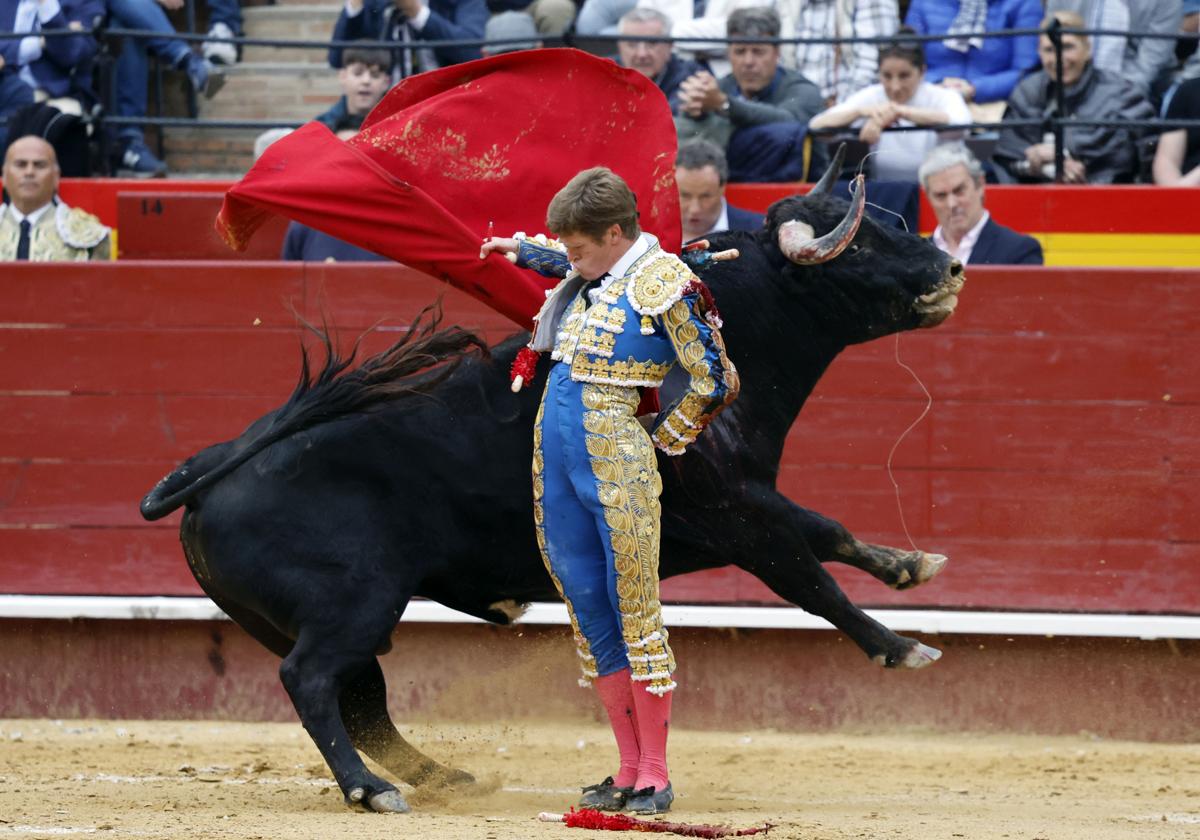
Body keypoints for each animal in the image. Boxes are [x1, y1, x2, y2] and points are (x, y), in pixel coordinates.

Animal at [140, 178, 964, 816]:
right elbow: (813, 578)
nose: (952, 267)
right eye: (860, 246)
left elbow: (827, 530)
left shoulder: (749, 502)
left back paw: (440, 777)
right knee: (312, 683)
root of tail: (214, 470)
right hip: (354, 603)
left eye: (894, 222)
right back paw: (371, 791)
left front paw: (910, 566)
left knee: (360, 700)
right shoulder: (737, 514)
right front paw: (902, 646)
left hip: (319, 619)